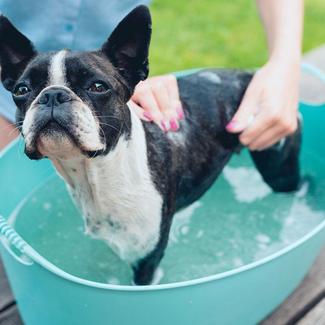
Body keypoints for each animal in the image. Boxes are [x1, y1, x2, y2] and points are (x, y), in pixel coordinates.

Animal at [0, 5, 302, 284]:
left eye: (98, 87)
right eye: (21, 90)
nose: (53, 94)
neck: (96, 174)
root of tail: (250, 76)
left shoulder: (146, 259)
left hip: (278, 167)